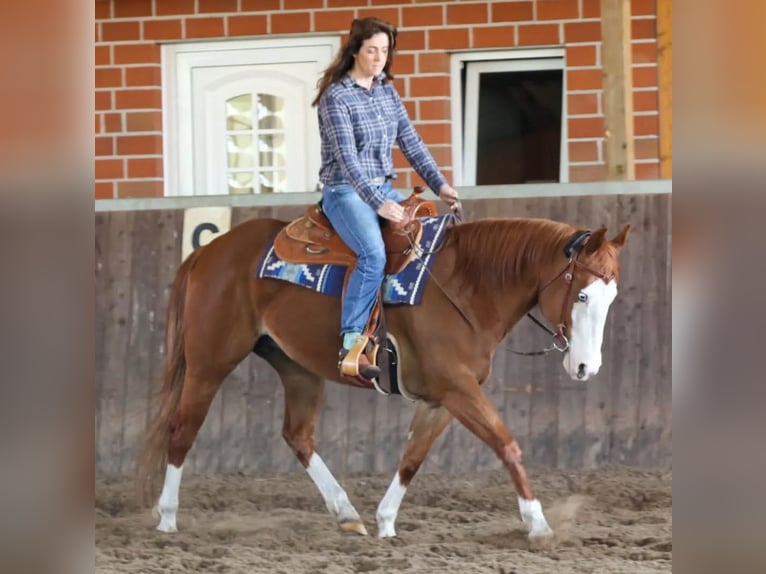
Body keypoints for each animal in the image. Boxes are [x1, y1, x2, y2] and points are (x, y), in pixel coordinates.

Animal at [137, 204, 630, 541]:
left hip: (295, 367)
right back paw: (167, 517)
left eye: (611, 297)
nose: (586, 366)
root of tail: (208, 252)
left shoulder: (442, 399)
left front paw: (386, 522)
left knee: (298, 435)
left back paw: (346, 513)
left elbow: (412, 458)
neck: (467, 287)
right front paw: (538, 523)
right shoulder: (458, 390)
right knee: (182, 430)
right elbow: (506, 444)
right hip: (209, 363)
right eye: (582, 295)